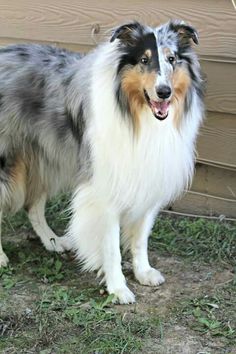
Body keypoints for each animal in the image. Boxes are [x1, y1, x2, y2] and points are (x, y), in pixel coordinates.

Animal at [0, 19, 203, 302]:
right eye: (144, 59)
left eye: (171, 58)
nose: (164, 92)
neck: (136, 115)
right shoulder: (105, 190)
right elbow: (111, 246)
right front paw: (118, 288)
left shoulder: (149, 181)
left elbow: (140, 238)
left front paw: (143, 272)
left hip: (46, 157)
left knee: (33, 205)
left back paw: (53, 241)